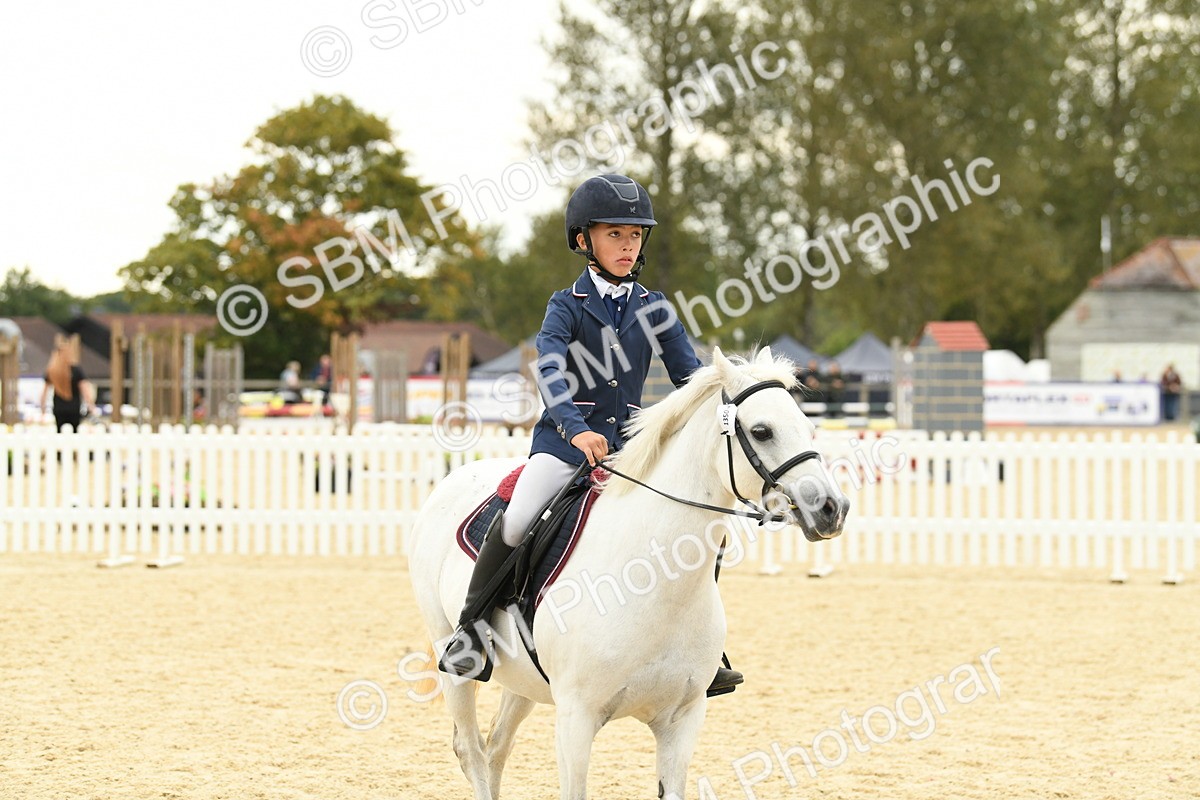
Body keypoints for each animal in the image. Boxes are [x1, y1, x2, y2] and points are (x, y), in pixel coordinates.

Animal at [408, 346, 849, 800]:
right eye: (762, 432)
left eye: (807, 427)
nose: (832, 509)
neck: (655, 583)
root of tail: (455, 477)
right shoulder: (576, 720)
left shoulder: (682, 721)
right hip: (453, 654)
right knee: (471, 750)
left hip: (523, 680)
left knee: (496, 748)